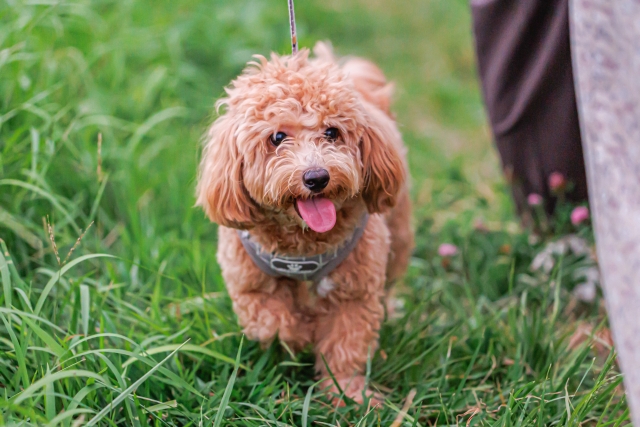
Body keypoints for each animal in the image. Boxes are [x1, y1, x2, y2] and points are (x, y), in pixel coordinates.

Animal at [196, 41, 416, 402]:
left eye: (332, 132)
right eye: (277, 137)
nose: (317, 177)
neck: (303, 245)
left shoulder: (354, 293)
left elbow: (346, 345)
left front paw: (347, 395)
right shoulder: (249, 286)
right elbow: (274, 322)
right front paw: (300, 336)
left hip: (397, 236)